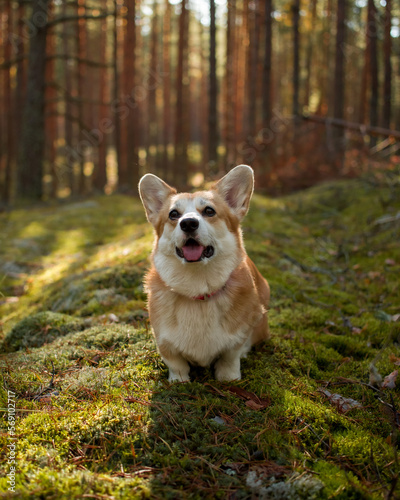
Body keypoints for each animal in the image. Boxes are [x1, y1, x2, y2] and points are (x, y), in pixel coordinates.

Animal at [138, 165, 268, 382]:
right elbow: (176, 363)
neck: (198, 288)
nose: (188, 223)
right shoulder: (164, 341)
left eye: (209, 211)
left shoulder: (239, 336)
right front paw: (178, 381)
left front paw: (229, 378)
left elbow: (230, 357)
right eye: (173, 214)